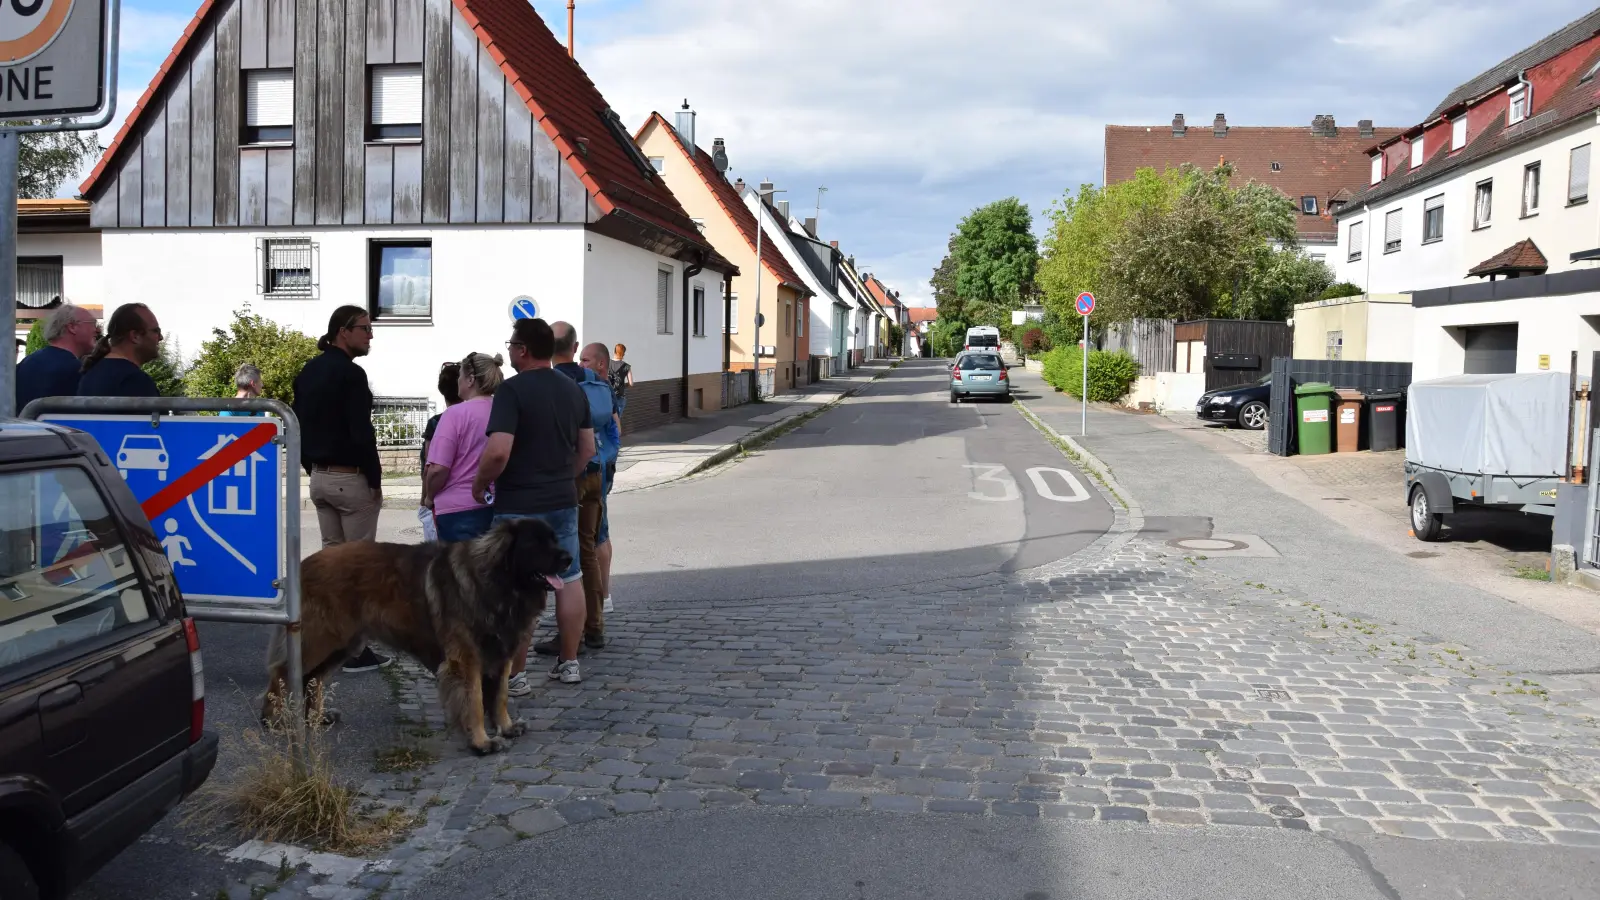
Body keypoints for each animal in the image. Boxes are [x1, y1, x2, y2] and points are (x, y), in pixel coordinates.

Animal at [267, 515, 576, 752]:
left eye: (554, 539)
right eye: (535, 543)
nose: (569, 558)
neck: (498, 584)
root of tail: (303, 564)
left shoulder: (502, 653)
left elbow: (499, 696)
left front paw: (506, 727)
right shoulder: (467, 659)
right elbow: (475, 701)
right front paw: (481, 742)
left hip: (344, 643)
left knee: (312, 678)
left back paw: (315, 718)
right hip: (323, 638)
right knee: (283, 672)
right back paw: (276, 719)